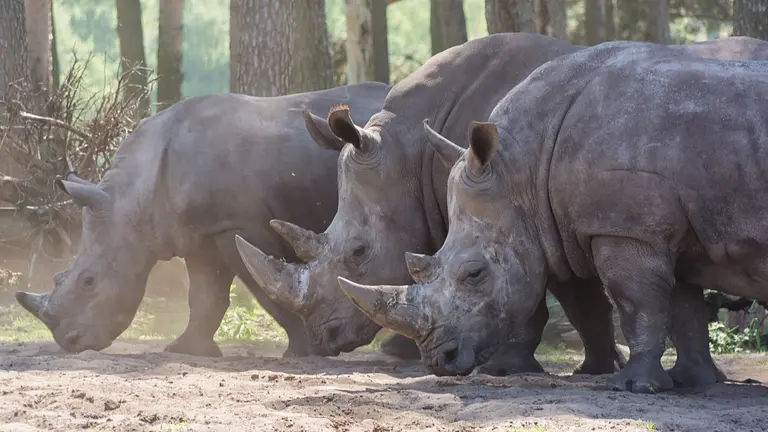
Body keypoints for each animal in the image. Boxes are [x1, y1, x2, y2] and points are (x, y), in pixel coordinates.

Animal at [15, 82, 390, 358]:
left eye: (89, 282)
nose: (70, 343)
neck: (132, 199)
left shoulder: (238, 225)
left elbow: (266, 291)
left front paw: (303, 352)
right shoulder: (198, 233)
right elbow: (205, 296)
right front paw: (187, 350)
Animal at [237, 33, 768, 374]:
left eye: (358, 254)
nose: (321, 338)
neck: (410, 150)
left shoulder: (542, 215)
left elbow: (551, 295)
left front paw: (513, 367)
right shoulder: (552, 218)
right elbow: (580, 299)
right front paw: (596, 368)